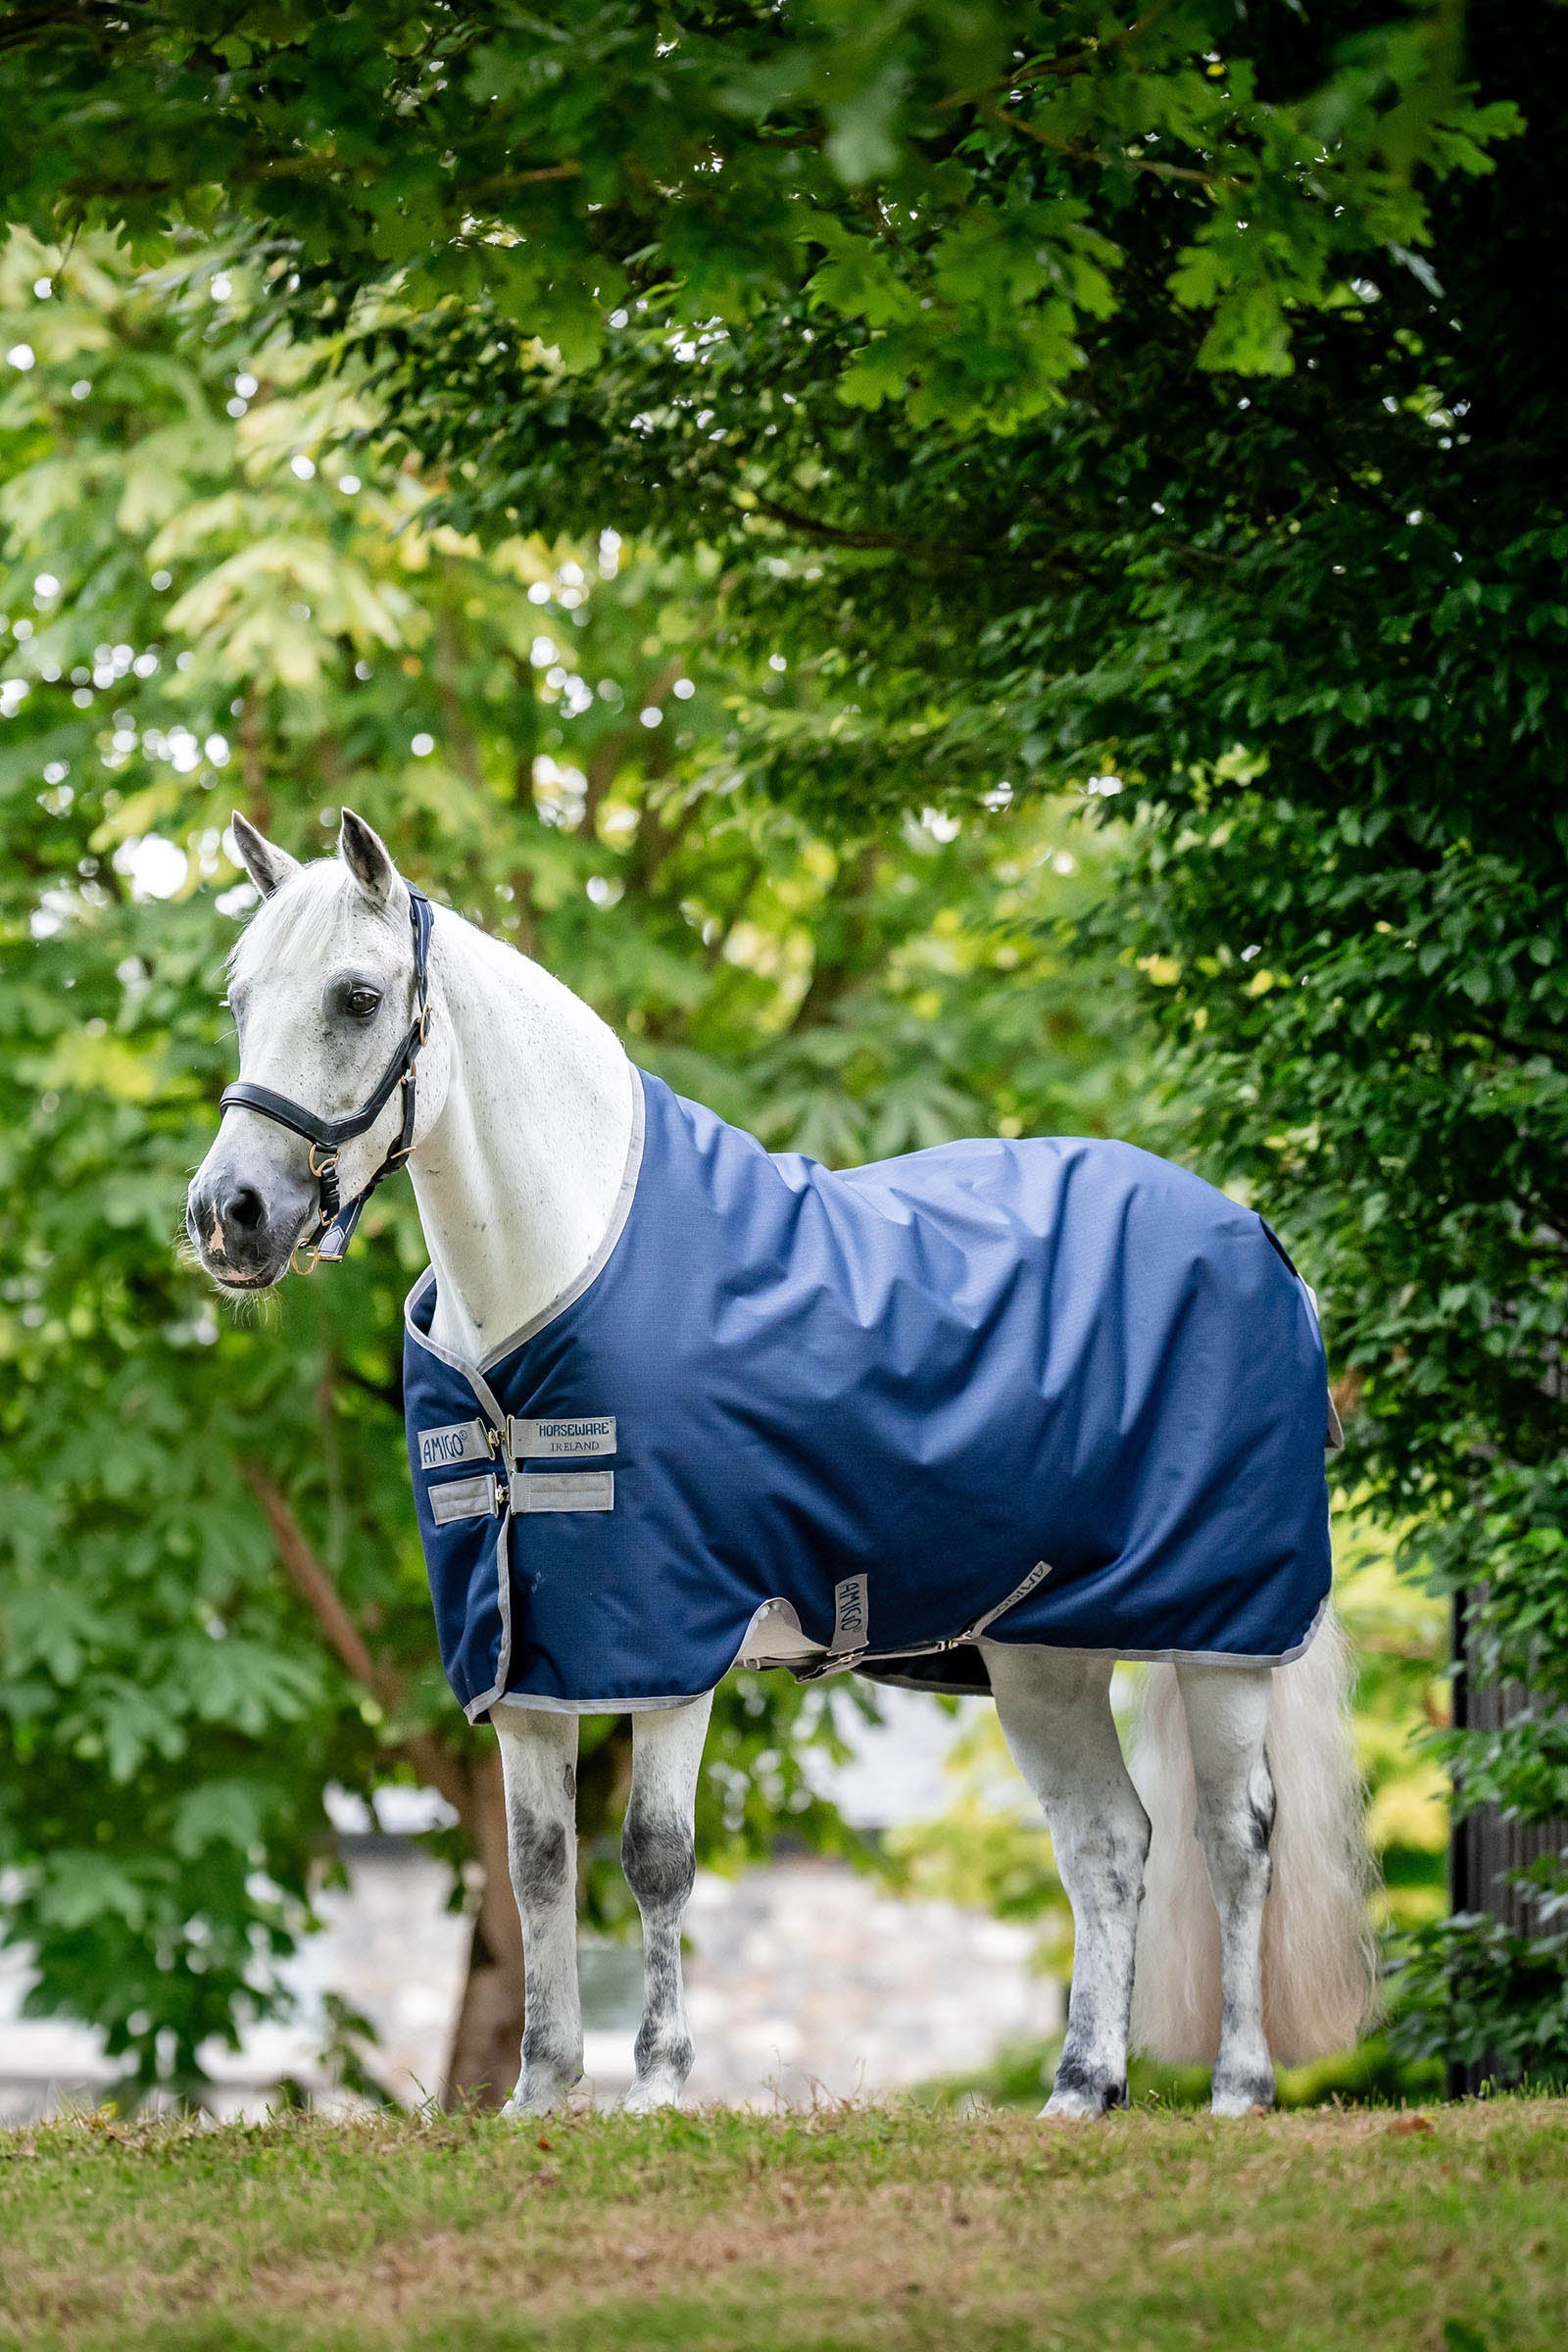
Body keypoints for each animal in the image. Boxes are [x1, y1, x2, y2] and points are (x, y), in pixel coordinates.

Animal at [186, 808, 1376, 2119]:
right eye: (240, 999)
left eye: (357, 996)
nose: (228, 1214)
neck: (552, 1286)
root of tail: (1258, 1242)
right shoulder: (529, 1658)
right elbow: (539, 1865)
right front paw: (542, 2094)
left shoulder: (670, 1640)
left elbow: (654, 1858)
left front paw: (657, 2088)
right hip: (1042, 1658)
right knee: (1109, 1844)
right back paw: (1081, 2089)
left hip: (1223, 1637)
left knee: (1236, 1837)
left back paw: (1240, 2087)